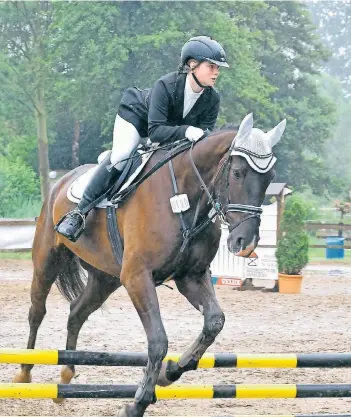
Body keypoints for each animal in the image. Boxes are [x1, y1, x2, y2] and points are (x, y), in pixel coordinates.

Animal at [13, 114, 286, 416]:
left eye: (270, 178)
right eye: (237, 173)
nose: (244, 242)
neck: (184, 198)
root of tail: (60, 182)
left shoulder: (191, 276)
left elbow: (214, 322)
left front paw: (171, 372)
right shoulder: (137, 277)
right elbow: (158, 341)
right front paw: (137, 403)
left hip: (105, 278)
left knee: (76, 313)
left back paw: (66, 378)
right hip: (47, 258)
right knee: (37, 311)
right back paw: (24, 373)